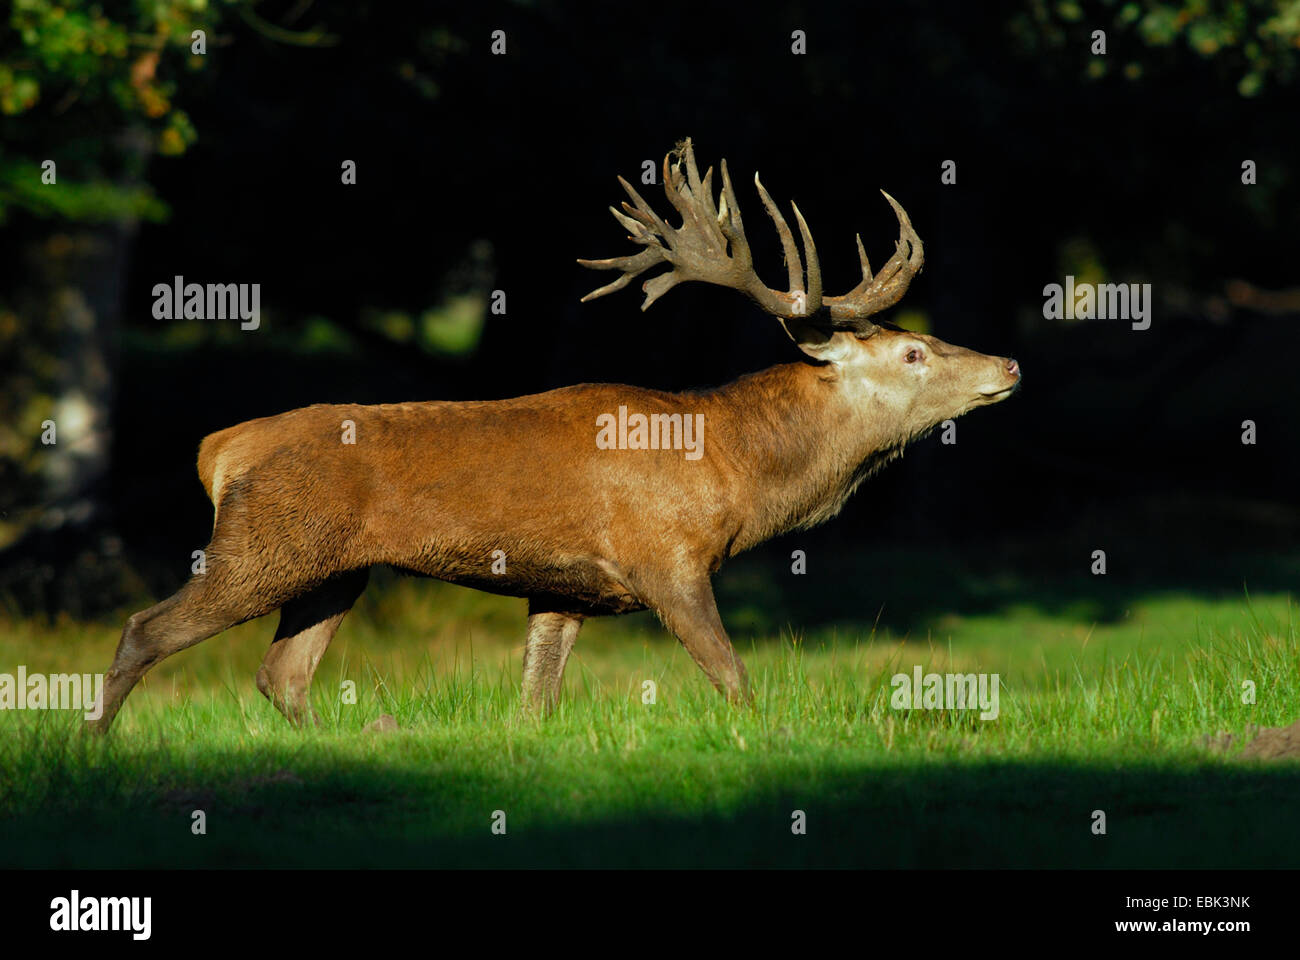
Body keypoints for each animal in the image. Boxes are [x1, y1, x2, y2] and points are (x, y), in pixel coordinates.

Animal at [89, 136, 1024, 733]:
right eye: (912, 351)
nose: (1009, 364)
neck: (738, 470)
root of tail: (219, 451)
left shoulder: (565, 590)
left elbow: (537, 701)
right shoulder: (665, 558)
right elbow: (733, 676)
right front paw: (767, 739)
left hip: (334, 569)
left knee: (280, 674)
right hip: (262, 544)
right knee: (146, 629)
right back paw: (93, 748)